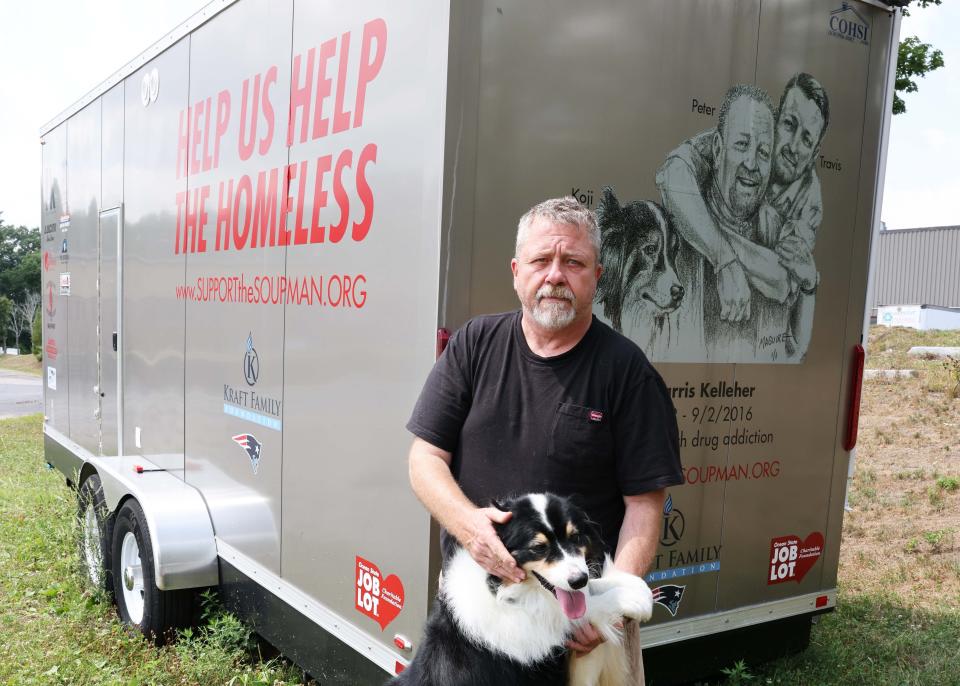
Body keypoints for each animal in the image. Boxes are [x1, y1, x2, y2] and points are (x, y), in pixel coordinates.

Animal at [388, 494, 652, 686]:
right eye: (539, 547)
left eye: (576, 537)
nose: (578, 580)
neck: (500, 589)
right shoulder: (531, 631)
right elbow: (578, 610)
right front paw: (634, 599)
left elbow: (592, 591)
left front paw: (632, 585)